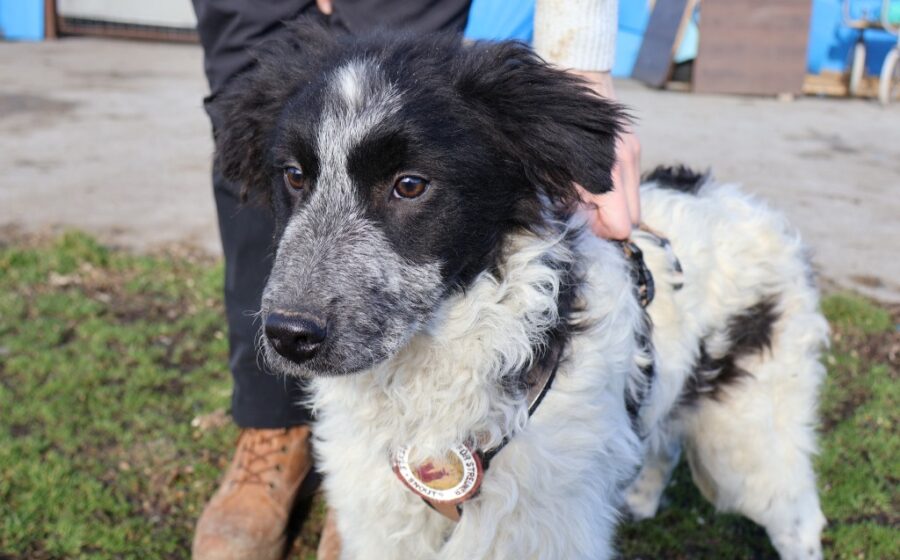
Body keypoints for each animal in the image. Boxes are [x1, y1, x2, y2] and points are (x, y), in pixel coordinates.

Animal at [213, 22, 829, 560]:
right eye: (294, 176)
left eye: (410, 185)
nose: (289, 335)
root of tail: (743, 203)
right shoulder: (381, 518)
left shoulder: (538, 528)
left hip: (749, 435)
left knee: (799, 517)